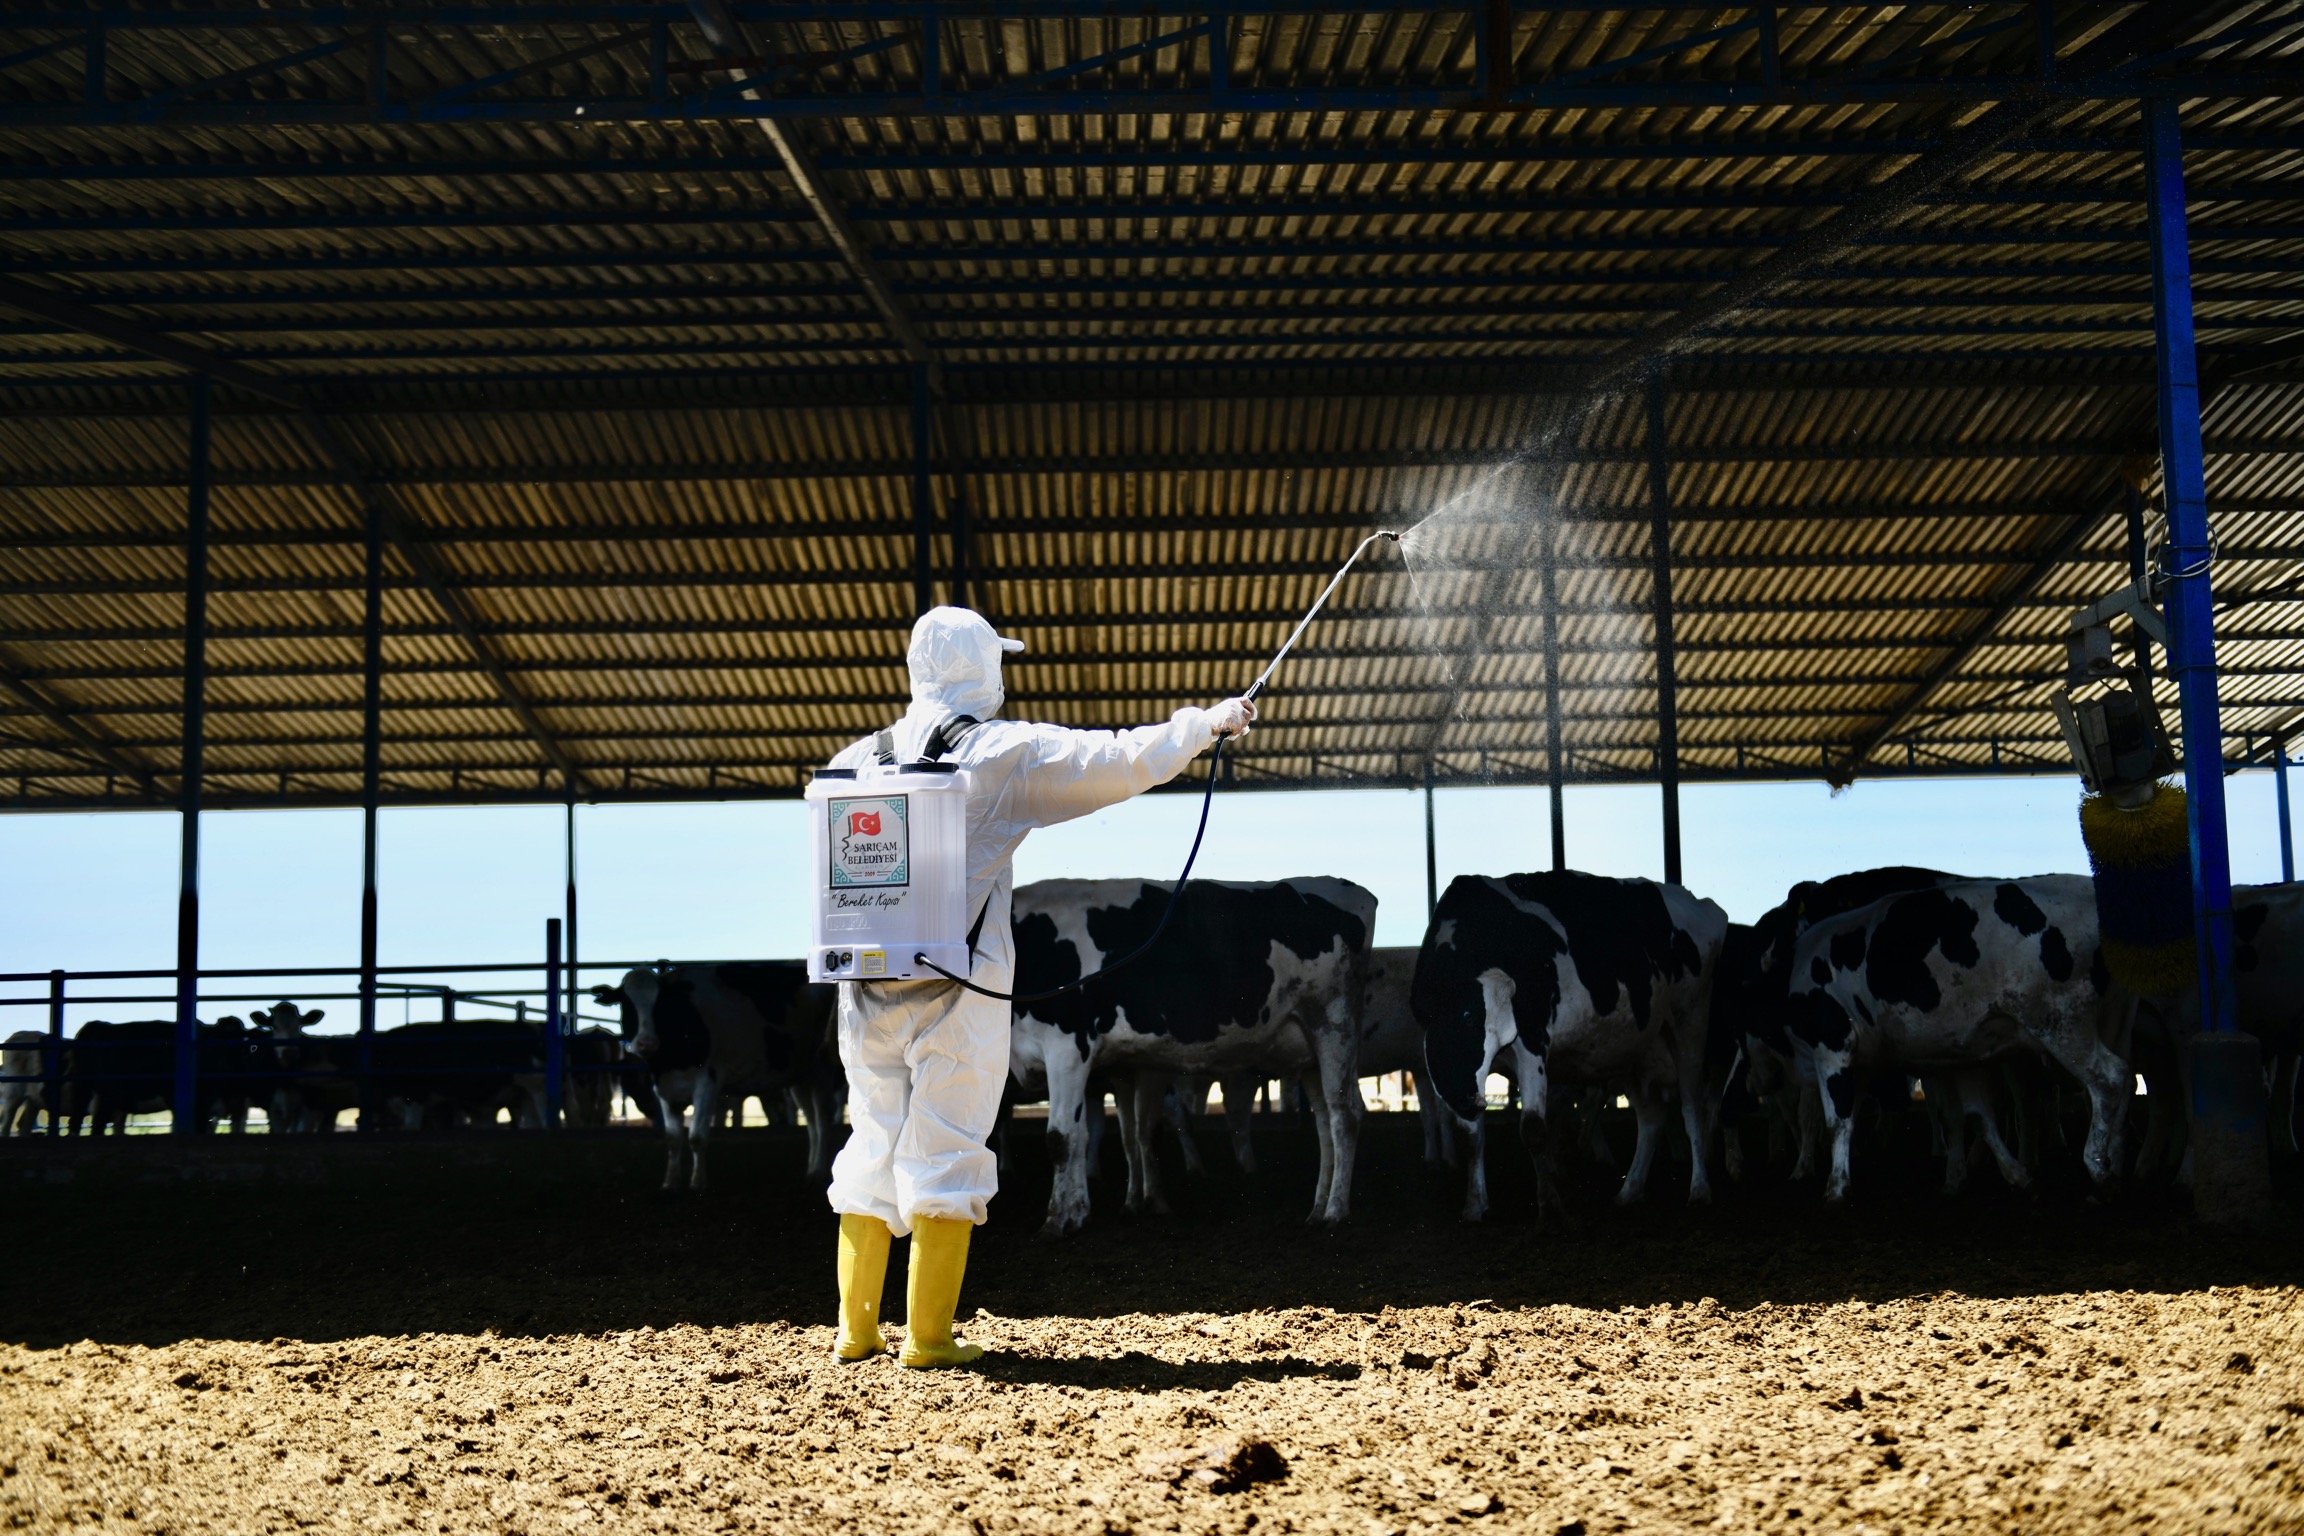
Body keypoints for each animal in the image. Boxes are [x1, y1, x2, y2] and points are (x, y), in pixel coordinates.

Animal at [589, 967, 843, 1197]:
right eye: (626, 1003)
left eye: (660, 1003)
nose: (646, 1042)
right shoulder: (664, 1090)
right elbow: (672, 1138)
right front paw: (670, 1182)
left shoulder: (707, 1084)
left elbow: (696, 1137)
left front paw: (697, 1183)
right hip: (800, 1074)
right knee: (810, 1119)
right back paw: (810, 1171)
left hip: (821, 1066)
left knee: (822, 1118)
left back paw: (820, 1172)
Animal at [1004, 875, 1363, 1234]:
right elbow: (1088, 1135)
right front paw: (1078, 1213)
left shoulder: (1068, 1048)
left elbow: (1061, 1138)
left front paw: (1056, 1220)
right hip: (1309, 1050)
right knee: (1325, 1119)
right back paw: (1317, 1209)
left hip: (1333, 1025)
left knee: (1344, 1116)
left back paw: (1335, 1211)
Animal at [1410, 875, 1723, 1225]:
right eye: (1466, 1018)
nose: (1471, 1099)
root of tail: (1701, 904)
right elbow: (1471, 1137)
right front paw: (1475, 1204)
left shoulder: (1532, 1043)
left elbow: (1533, 1129)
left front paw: (1550, 1207)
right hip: (1636, 1046)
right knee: (1651, 1117)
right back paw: (1629, 1191)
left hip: (1690, 1019)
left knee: (1691, 1105)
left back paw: (1699, 1189)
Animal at [1778, 875, 2119, 1197]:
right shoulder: (1877, 1061)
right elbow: (1971, 1114)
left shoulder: (1831, 1046)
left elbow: (1837, 1120)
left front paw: (1835, 1188)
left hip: (2062, 1023)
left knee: (2108, 1077)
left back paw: (2098, 1166)